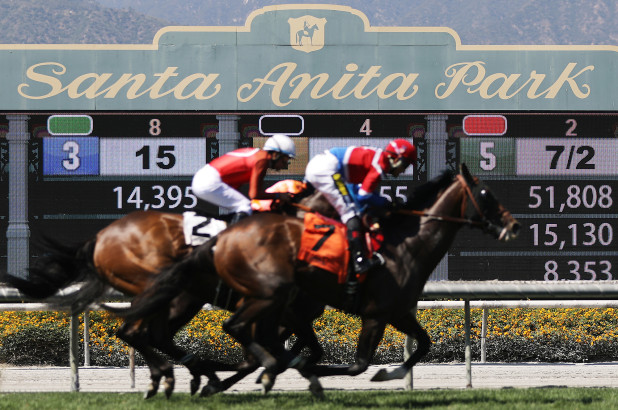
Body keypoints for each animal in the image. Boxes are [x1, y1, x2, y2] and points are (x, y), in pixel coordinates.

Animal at [125, 164, 520, 390]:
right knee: (156, 332)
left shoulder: (395, 312)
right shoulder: (374, 314)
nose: (513, 225)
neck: (405, 247)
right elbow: (354, 364)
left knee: (159, 334)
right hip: (192, 300)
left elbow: (422, 344)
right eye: (486, 194)